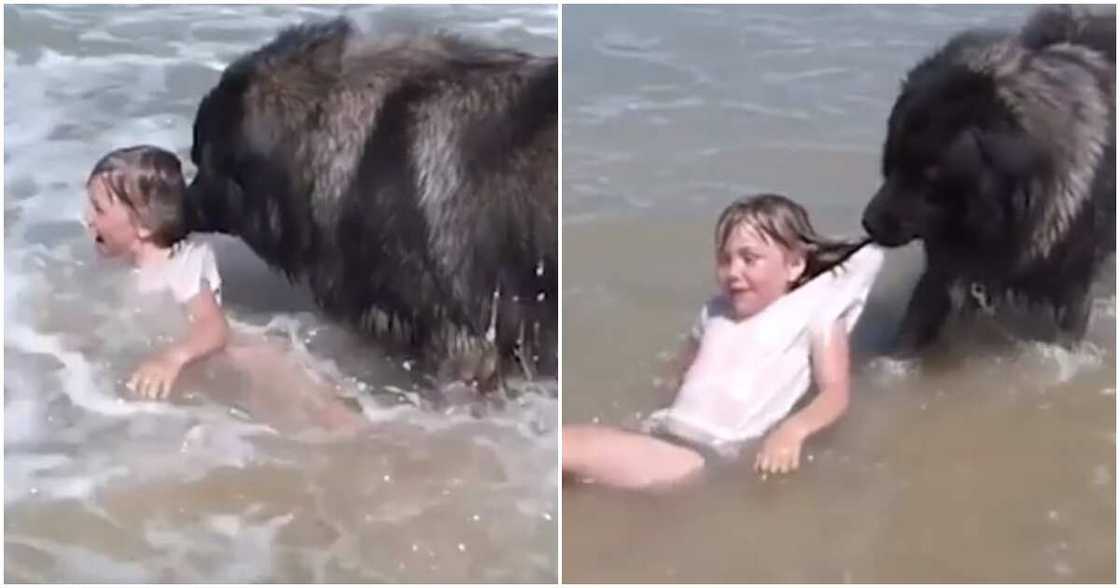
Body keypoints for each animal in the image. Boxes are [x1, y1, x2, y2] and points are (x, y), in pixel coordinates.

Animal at [860, 4, 1115, 351]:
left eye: (930, 173)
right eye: (893, 162)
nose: (868, 223)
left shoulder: (1073, 290)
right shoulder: (944, 272)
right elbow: (912, 330)